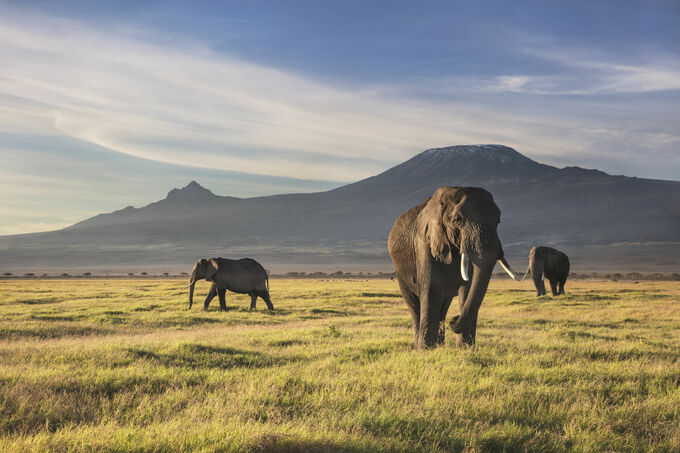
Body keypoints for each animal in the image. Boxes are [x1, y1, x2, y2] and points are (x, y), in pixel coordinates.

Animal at [388, 185, 520, 348]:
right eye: (458, 220)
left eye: (498, 220)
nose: (454, 318)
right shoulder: (425, 241)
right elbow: (432, 287)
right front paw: (425, 350)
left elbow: (467, 288)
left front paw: (466, 348)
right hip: (400, 273)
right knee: (414, 305)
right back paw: (420, 344)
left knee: (443, 306)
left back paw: (440, 344)